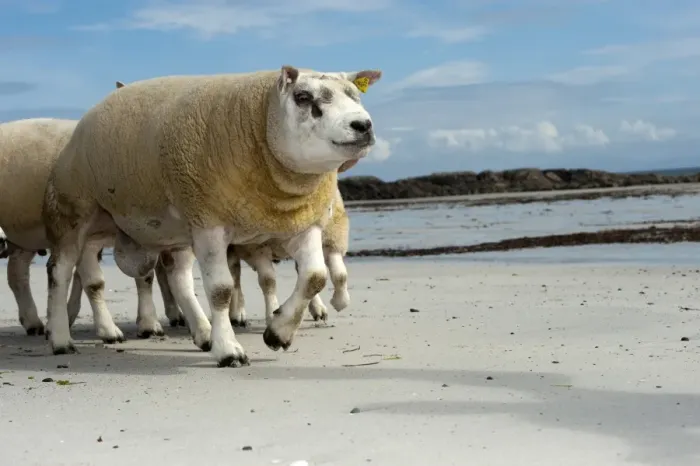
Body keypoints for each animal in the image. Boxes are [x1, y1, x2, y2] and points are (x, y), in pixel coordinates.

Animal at [0, 118, 176, 340]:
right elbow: (94, 283)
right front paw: (109, 330)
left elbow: (144, 277)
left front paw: (148, 324)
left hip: (25, 236)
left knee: (17, 273)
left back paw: (33, 322)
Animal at [42, 65, 382, 367]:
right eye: (302, 97)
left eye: (355, 95)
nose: (363, 125)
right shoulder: (210, 223)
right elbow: (220, 290)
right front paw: (229, 350)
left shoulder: (302, 223)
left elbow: (314, 276)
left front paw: (278, 333)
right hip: (74, 212)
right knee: (60, 272)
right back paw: (60, 339)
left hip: (161, 227)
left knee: (174, 279)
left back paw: (203, 333)